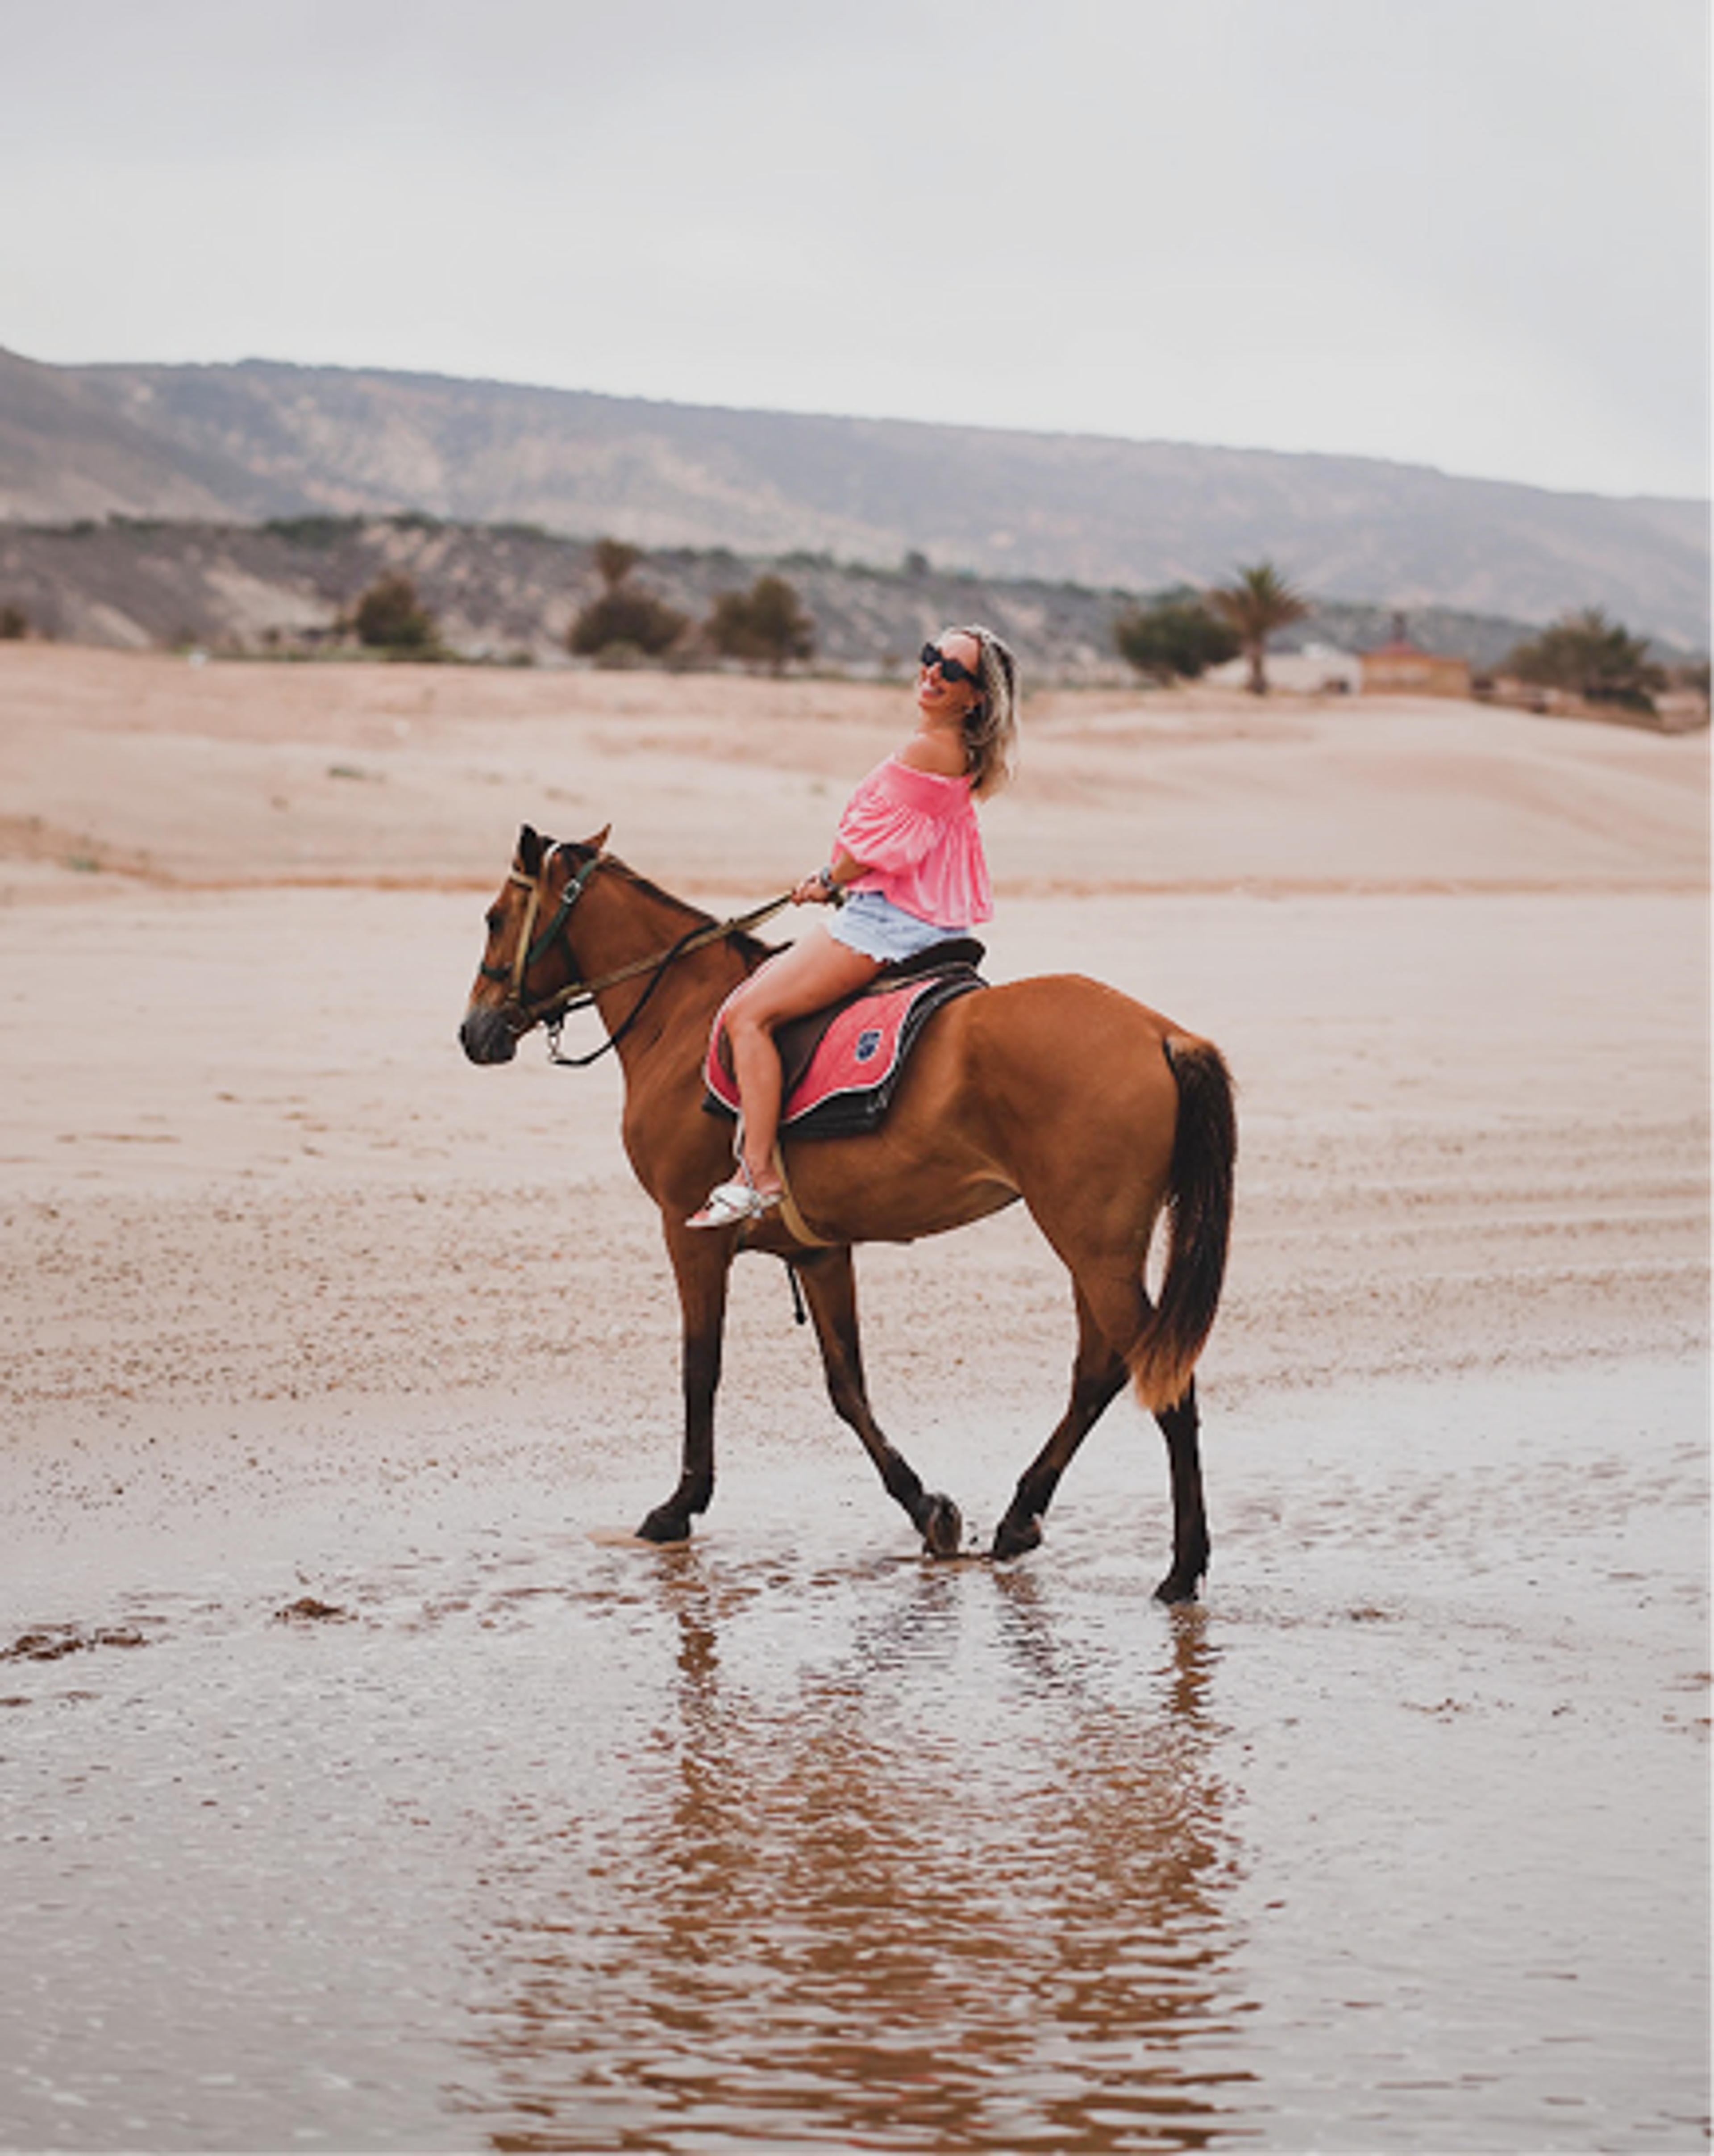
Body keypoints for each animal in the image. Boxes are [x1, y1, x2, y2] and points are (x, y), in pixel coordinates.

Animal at [459, 825, 1236, 1601]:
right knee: (1100, 1370)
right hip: (1093, 1246)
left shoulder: (690, 1237)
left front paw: (678, 1506)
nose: (474, 1030)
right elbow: (847, 1386)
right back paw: (1022, 1517)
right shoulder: (820, 1252)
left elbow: (700, 1369)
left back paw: (1181, 1566)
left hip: (1092, 1245)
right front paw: (925, 1506)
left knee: (1165, 1385)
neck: (681, 1018)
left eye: (495, 919)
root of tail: (1158, 1033)